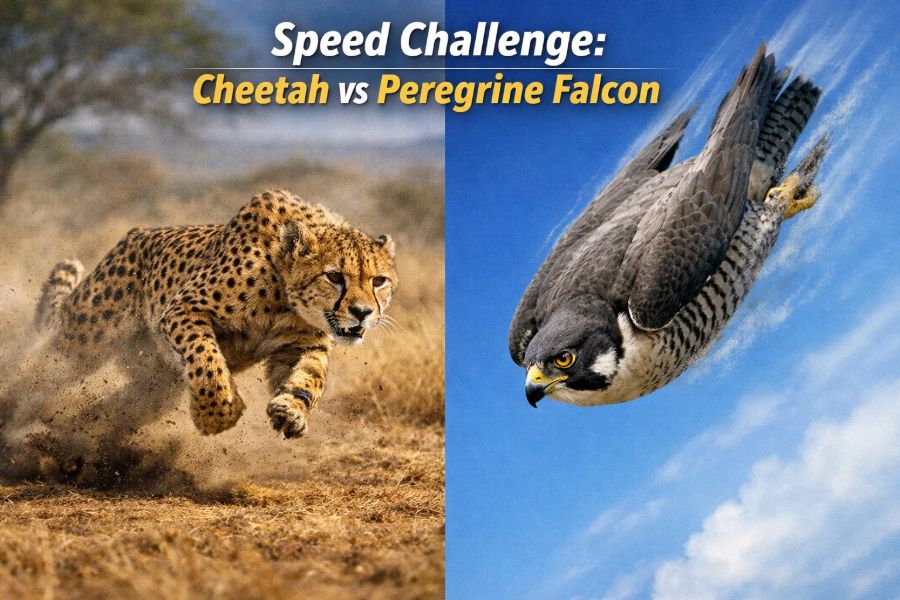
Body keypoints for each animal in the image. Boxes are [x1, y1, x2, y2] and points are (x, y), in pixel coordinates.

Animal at [5, 189, 397, 443]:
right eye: (335, 276)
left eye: (378, 281)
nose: (362, 313)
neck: (283, 294)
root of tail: (131, 236)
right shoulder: (183, 309)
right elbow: (207, 362)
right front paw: (218, 415)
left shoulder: (300, 344)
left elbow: (311, 377)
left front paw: (293, 411)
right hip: (85, 339)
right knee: (43, 371)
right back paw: (13, 414)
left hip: (156, 381)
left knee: (122, 405)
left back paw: (74, 434)